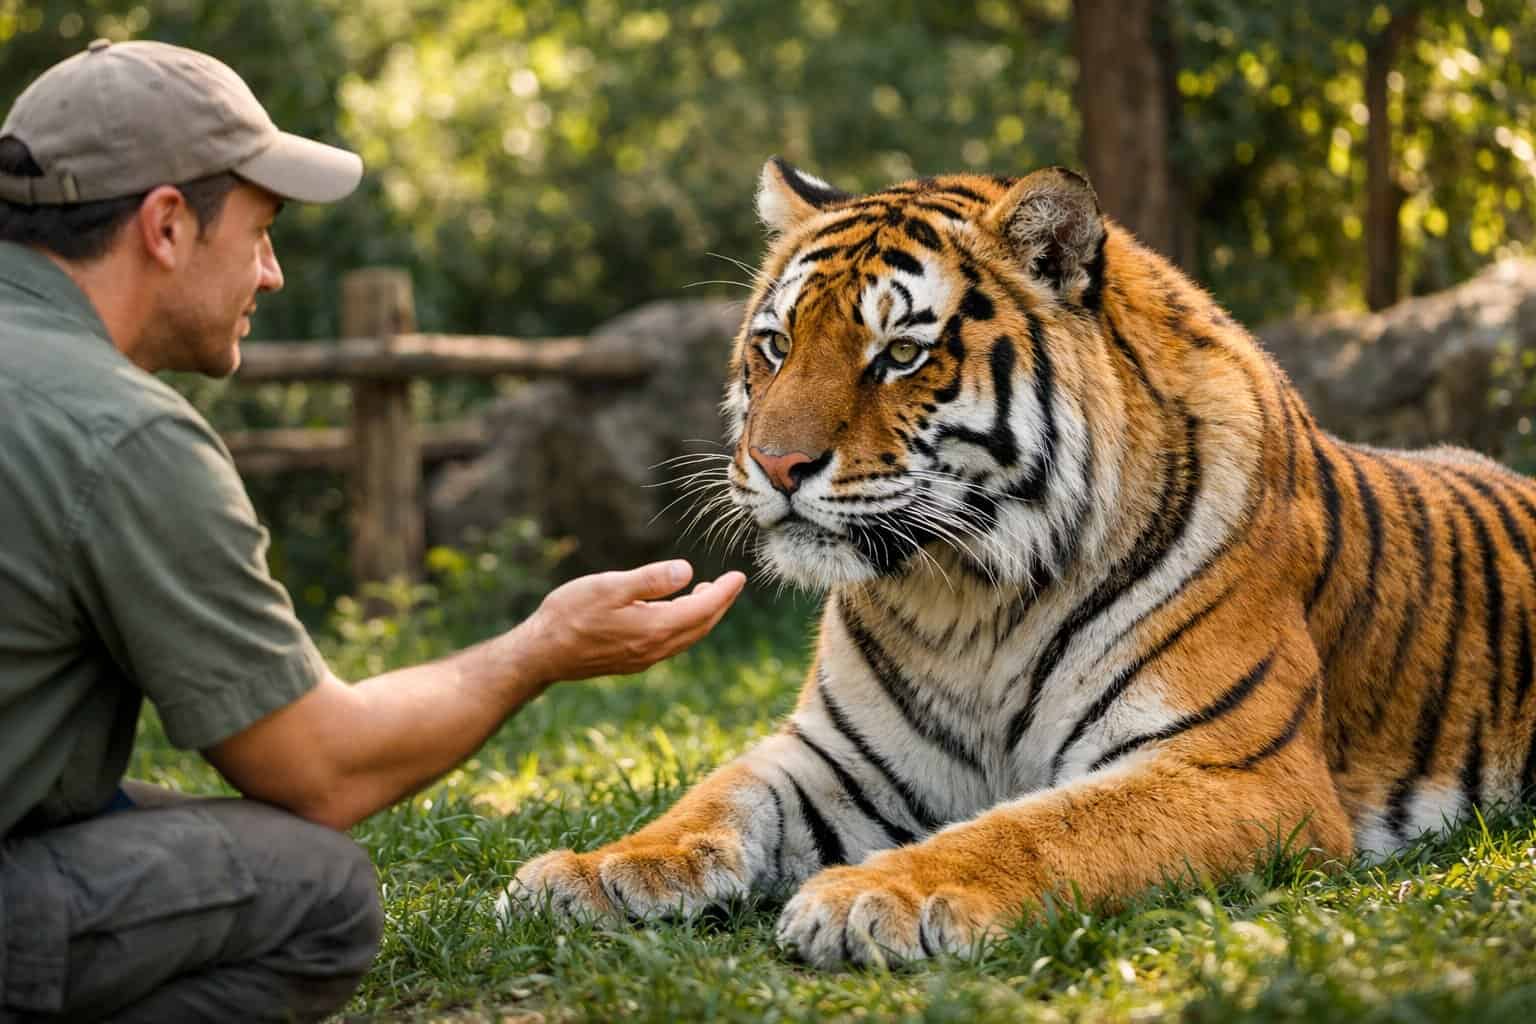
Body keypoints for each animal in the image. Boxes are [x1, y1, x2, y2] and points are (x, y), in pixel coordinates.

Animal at [499, 158, 1536, 968]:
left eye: (900, 354)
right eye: (777, 345)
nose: (776, 464)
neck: (964, 598)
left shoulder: (1235, 770)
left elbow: (1047, 828)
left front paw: (870, 896)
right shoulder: (838, 754)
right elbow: (711, 800)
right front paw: (592, 873)